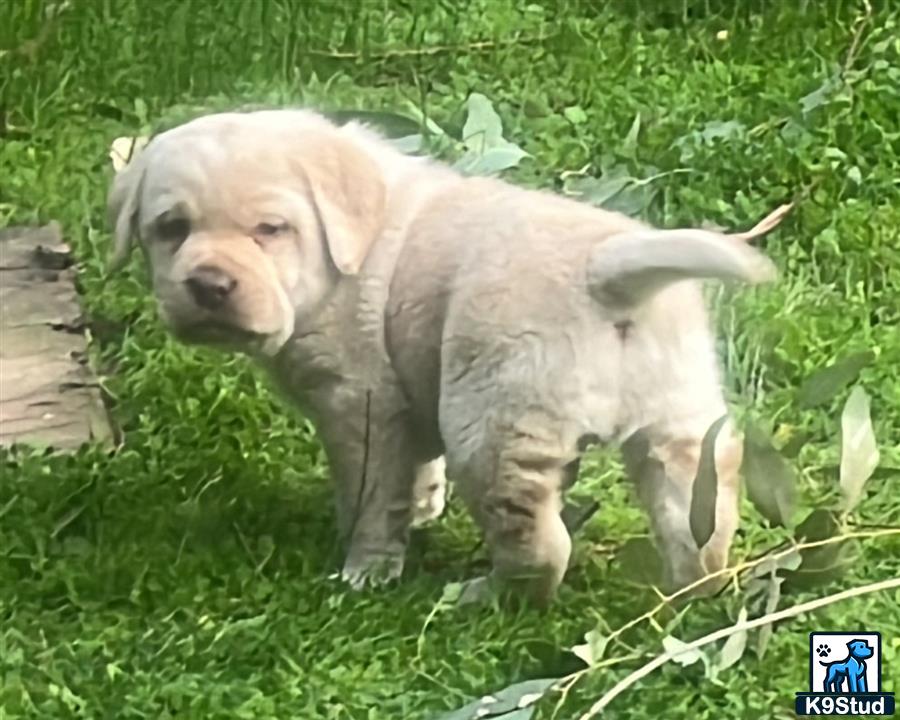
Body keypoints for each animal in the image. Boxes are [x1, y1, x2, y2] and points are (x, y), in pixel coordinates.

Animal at [109, 109, 788, 604]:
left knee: (539, 547)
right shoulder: (407, 389)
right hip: (679, 418)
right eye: (171, 228)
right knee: (697, 515)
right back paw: (691, 596)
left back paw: (486, 595)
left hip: (490, 427)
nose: (209, 286)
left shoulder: (358, 401)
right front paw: (423, 508)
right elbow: (413, 466)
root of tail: (606, 270)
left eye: (270, 230)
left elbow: (370, 492)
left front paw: (366, 566)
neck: (347, 248)